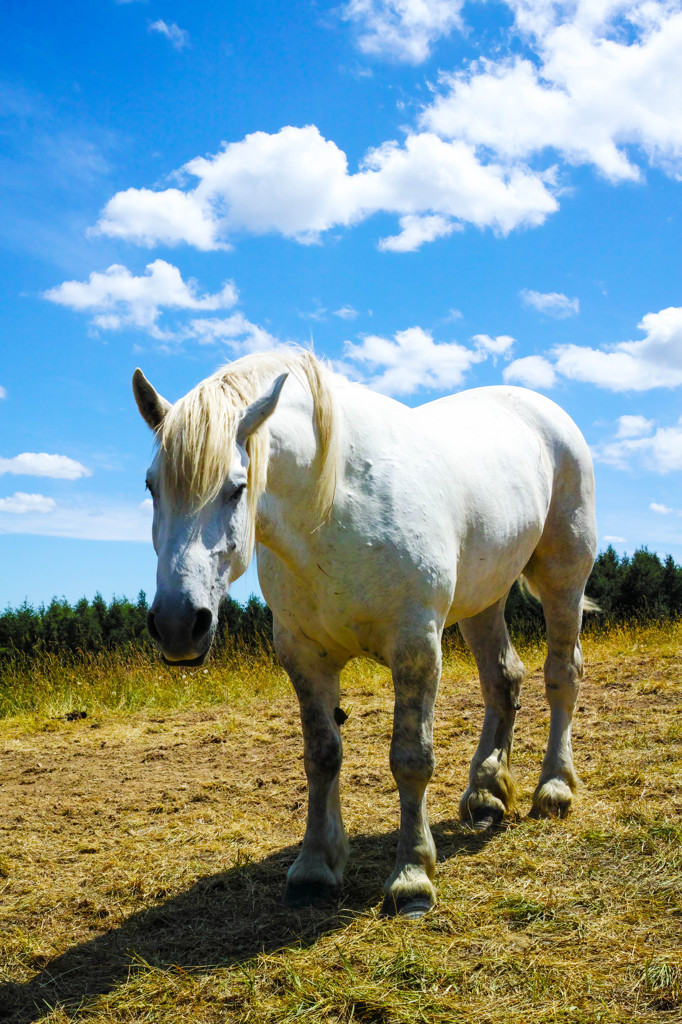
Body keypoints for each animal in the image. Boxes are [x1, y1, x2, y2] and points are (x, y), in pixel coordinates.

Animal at [133, 348, 593, 917]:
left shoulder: (416, 646)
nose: (178, 624)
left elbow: (411, 759)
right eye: (151, 487)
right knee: (502, 680)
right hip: (484, 599)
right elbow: (321, 756)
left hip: (563, 577)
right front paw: (314, 867)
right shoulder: (303, 656)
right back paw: (486, 793)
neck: (333, 510)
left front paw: (412, 877)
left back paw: (554, 789)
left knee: (561, 676)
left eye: (237, 487)